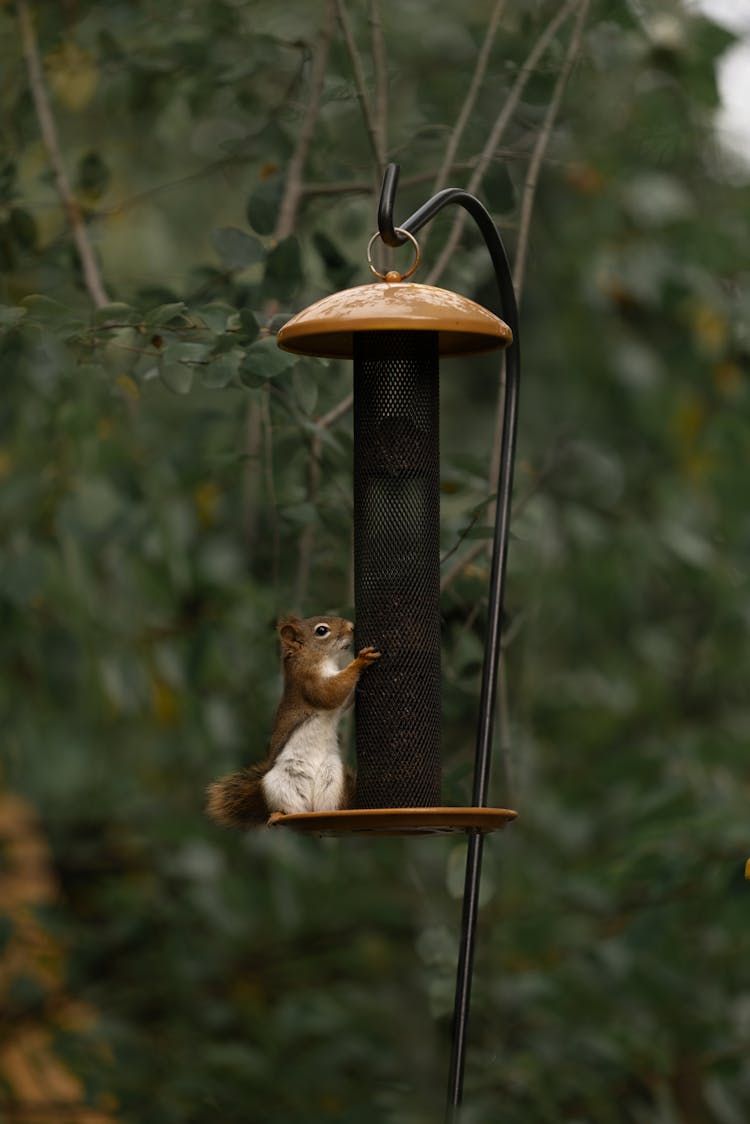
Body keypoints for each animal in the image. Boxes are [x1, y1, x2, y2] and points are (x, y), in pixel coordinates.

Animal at [206, 615, 377, 827]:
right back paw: (278, 815)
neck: (315, 657)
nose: (351, 627)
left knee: (326, 805)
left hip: (332, 780)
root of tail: (310, 807)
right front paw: (360, 661)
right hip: (279, 785)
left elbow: (343, 701)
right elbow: (331, 693)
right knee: (290, 807)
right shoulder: (308, 681)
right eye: (321, 631)